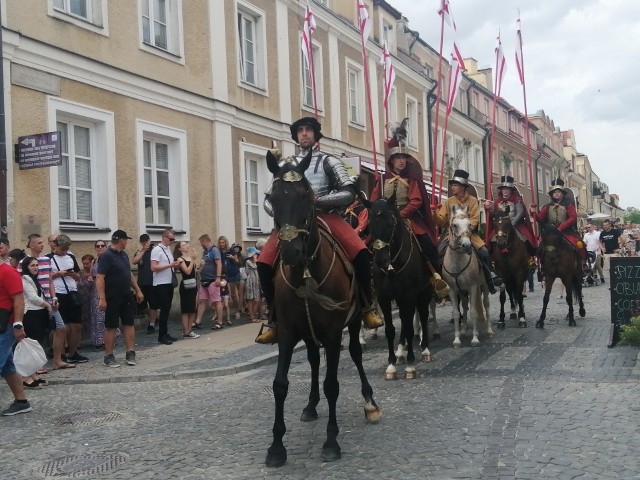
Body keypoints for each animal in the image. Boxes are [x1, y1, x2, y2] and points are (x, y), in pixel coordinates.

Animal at [264, 148, 380, 466]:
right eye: (273, 197)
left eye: (306, 195)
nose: (291, 252)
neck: (305, 273)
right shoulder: (288, 332)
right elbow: (280, 384)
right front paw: (276, 446)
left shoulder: (332, 333)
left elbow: (332, 385)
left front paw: (331, 441)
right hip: (308, 331)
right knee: (314, 361)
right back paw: (311, 405)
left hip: (353, 321)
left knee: (355, 354)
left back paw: (370, 402)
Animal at [364, 194, 436, 378]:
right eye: (370, 225)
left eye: (390, 223)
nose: (380, 261)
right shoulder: (384, 297)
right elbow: (391, 329)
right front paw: (391, 365)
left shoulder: (409, 295)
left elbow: (410, 327)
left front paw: (410, 365)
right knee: (404, 322)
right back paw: (400, 352)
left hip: (424, 292)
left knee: (423, 315)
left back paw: (425, 350)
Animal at [440, 204, 496, 346]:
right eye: (454, 225)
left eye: (469, 224)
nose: (466, 245)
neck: (457, 262)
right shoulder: (453, 290)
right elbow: (456, 313)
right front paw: (457, 339)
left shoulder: (473, 288)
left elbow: (474, 312)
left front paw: (475, 338)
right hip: (462, 291)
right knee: (465, 306)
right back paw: (464, 329)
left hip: (484, 286)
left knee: (486, 304)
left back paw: (489, 330)